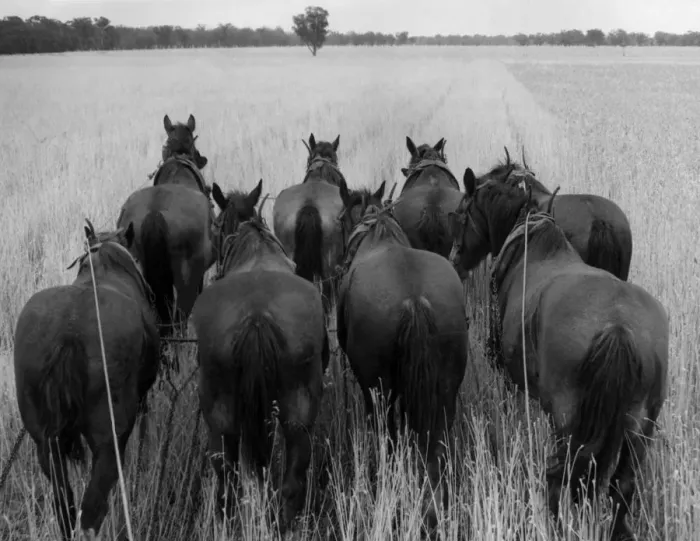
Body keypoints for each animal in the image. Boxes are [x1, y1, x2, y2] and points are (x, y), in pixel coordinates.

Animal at [448, 179, 668, 541]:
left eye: (461, 213)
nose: (454, 260)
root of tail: (618, 327)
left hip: (569, 424)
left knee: (561, 477)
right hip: (640, 428)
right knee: (621, 485)